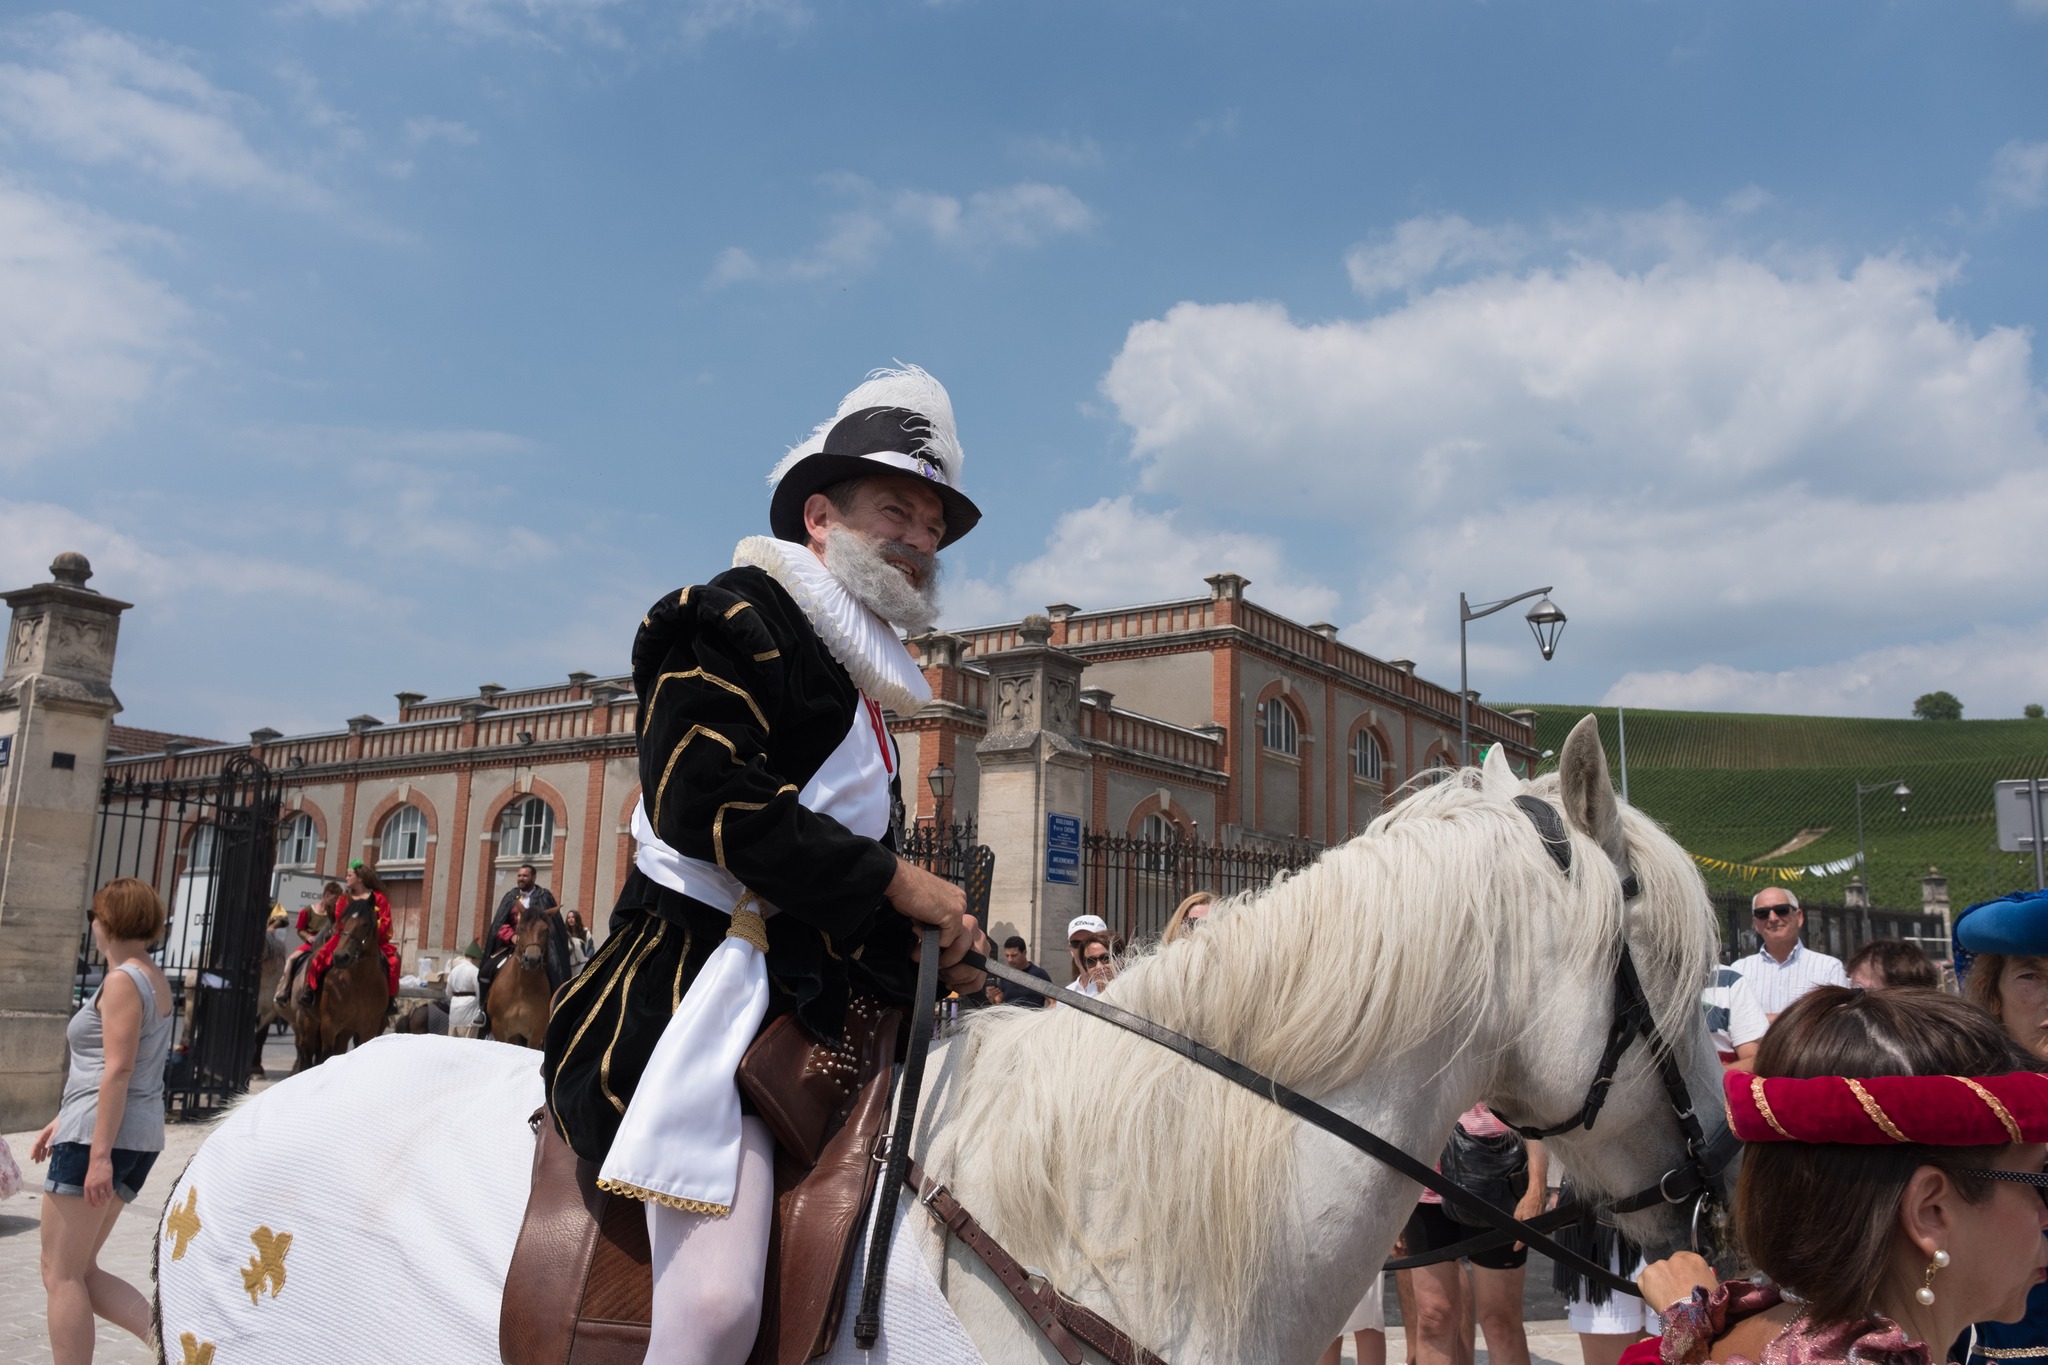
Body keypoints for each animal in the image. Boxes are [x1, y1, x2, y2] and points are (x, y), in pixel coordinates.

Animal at [294, 900, 393, 1072]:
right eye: (343, 922)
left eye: (366, 923)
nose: (340, 957)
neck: (359, 983)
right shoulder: (329, 1026)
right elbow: (325, 1057)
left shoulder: (369, 1028)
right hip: (308, 1023)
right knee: (307, 1056)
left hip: (346, 1030)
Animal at [487, 912, 561, 1055]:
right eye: (521, 928)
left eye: (546, 930)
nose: (532, 959)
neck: (522, 986)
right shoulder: (499, 1027)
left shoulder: (536, 1032)